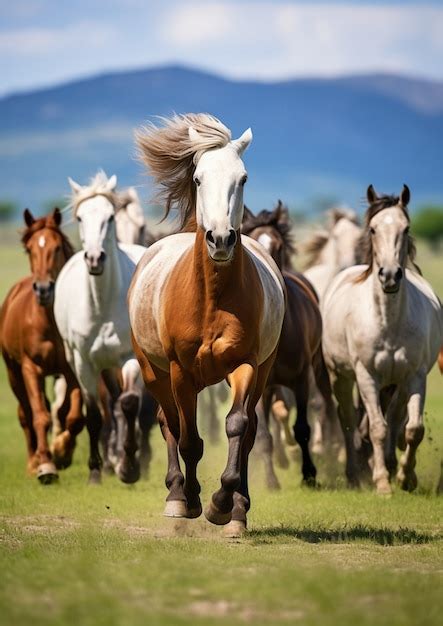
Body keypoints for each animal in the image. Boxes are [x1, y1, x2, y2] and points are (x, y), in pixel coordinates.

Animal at [0, 207, 84, 480]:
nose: (44, 289)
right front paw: (46, 465)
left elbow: (72, 416)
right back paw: (33, 461)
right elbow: (40, 416)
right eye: (29, 249)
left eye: (57, 247)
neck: (49, 322)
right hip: (13, 372)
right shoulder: (30, 369)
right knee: (25, 414)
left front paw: (62, 451)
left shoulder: (71, 369)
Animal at [54, 171, 153, 482]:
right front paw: (96, 471)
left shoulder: (129, 357)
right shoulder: (83, 362)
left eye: (109, 217)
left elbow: (129, 403)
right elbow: (94, 413)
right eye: (80, 217)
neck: (101, 304)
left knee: (123, 402)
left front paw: (129, 467)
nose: (95, 258)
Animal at [130, 113, 286, 536]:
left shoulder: (246, 365)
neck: (211, 298)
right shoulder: (180, 372)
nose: (220, 239)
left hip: (261, 371)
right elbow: (187, 439)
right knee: (169, 424)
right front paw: (190, 501)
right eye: (199, 178)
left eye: (243, 178)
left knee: (249, 431)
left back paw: (238, 509)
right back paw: (175, 495)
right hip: (154, 372)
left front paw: (222, 505)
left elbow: (237, 426)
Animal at [243, 200, 336, 488]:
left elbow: (303, 428)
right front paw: (271, 481)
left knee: (327, 403)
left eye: (278, 245)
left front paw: (309, 473)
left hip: (318, 367)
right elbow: (262, 434)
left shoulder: (301, 379)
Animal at [322, 185, 443, 492]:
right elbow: (376, 428)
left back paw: (389, 463)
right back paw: (354, 474)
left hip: (395, 383)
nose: (389, 276)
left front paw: (404, 476)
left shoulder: (414, 376)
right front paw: (382, 483)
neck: (388, 321)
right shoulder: (366, 376)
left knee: (396, 417)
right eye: (373, 229)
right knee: (348, 419)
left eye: (406, 227)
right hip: (340, 377)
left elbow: (413, 429)